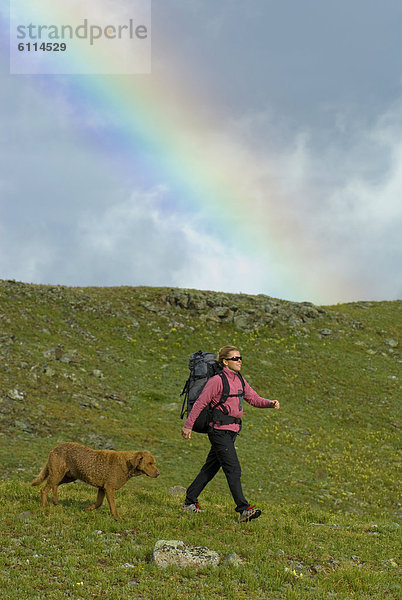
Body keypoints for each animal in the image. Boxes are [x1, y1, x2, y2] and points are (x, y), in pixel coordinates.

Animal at [30, 440, 159, 520]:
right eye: (150, 463)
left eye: (154, 463)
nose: (158, 473)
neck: (126, 465)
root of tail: (55, 448)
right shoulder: (109, 488)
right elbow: (113, 505)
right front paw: (117, 517)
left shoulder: (102, 488)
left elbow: (98, 503)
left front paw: (87, 509)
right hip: (58, 473)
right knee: (44, 489)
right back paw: (45, 505)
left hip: (68, 476)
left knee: (55, 485)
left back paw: (56, 502)